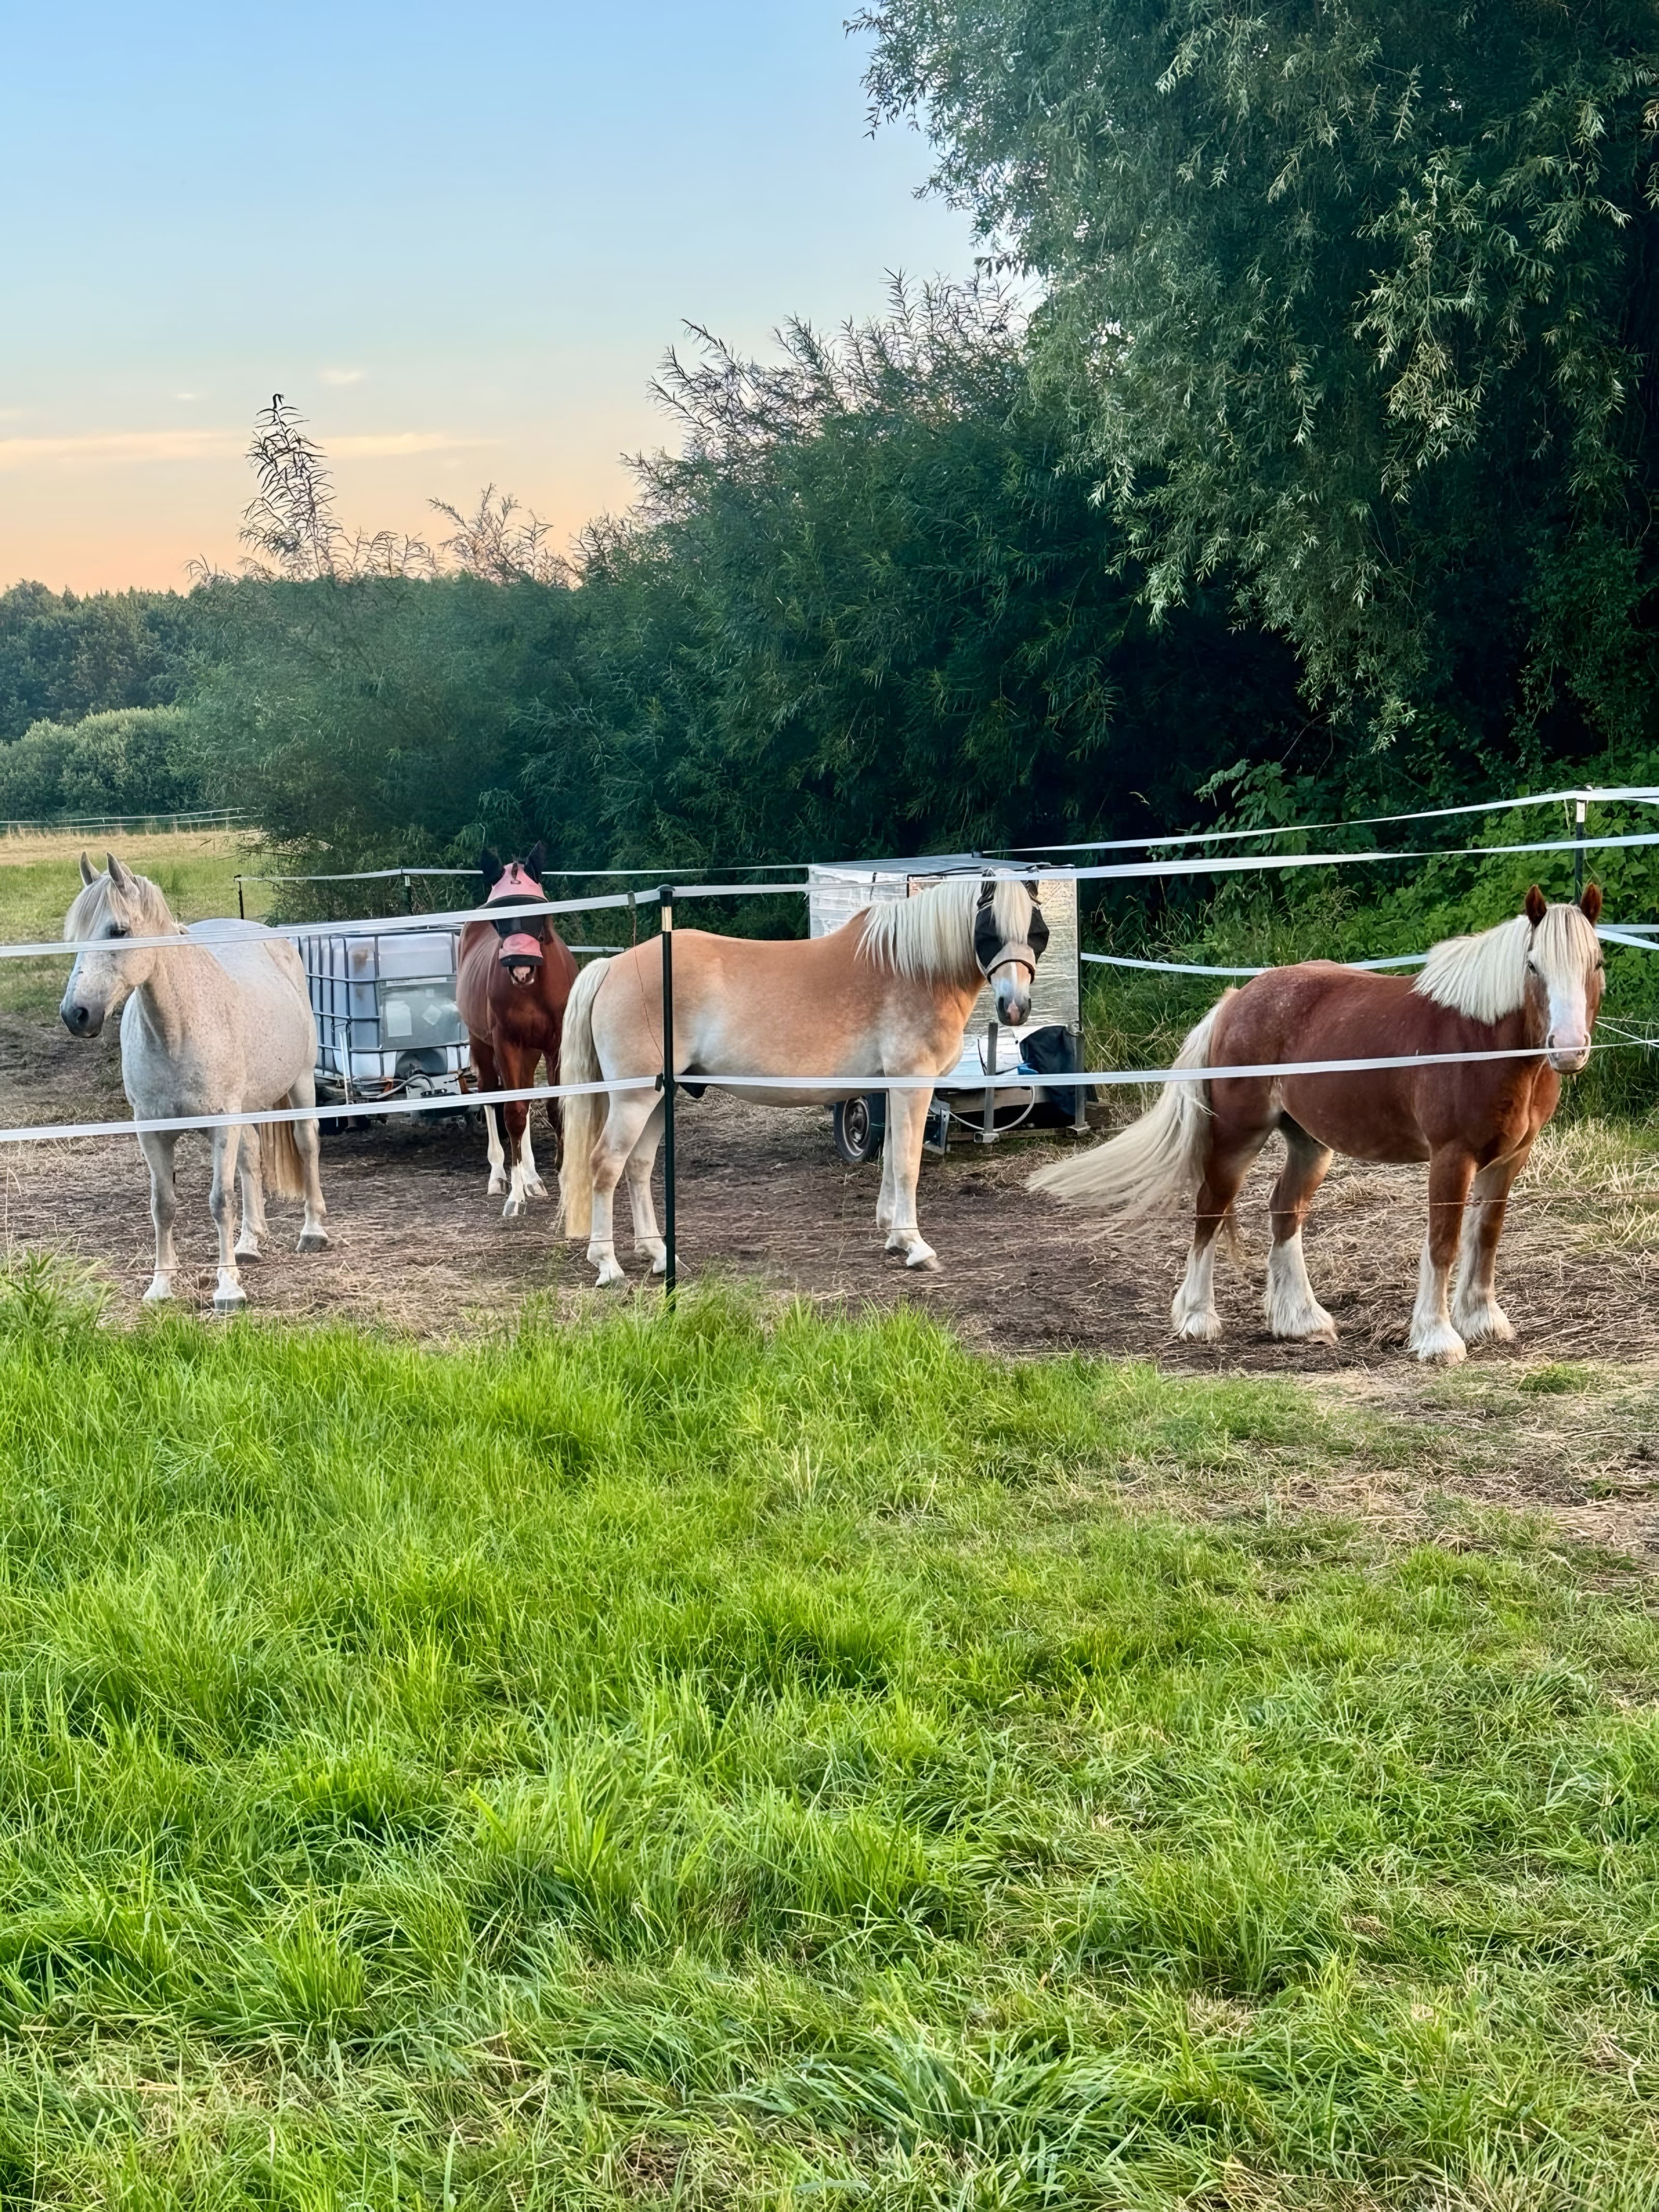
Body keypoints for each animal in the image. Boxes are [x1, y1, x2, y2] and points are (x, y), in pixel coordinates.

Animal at [59, 853, 330, 1312]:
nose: (76, 1014)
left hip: (301, 1080)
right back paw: (249, 1244)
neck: (178, 1031)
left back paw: (313, 1231)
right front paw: (161, 1287)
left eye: (119, 930)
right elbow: (163, 1205)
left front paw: (229, 1289)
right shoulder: (152, 1131)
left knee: (307, 1142)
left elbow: (220, 1202)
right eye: (75, 937)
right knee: (251, 1156)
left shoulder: (222, 1124)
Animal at [455, 844, 579, 1220]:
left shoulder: (554, 1045)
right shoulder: (506, 1044)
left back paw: (534, 1178)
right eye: (501, 915)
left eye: (537, 911)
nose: (520, 967)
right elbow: (512, 1113)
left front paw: (561, 1180)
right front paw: (515, 1195)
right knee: (493, 1095)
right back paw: (501, 1176)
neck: (532, 988)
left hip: (531, 1050)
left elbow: (554, 1108)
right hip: (483, 1045)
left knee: (524, 1094)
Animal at [559, 873, 1050, 1287]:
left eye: (1036, 931)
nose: (1015, 1008)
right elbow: (908, 1164)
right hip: (634, 1098)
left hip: (659, 1095)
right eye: (989, 930)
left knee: (638, 1167)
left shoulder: (893, 1087)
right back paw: (608, 1264)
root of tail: (613, 967)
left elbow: (891, 1157)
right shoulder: (913, 1083)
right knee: (606, 1164)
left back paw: (660, 1255)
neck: (915, 968)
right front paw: (917, 1246)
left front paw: (893, 1235)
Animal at [1030, 885, 1605, 1364]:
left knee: (1285, 1210)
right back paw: (1197, 1317)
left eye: (1596, 962)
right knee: (1209, 1211)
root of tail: (1234, 1001)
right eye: (1532, 965)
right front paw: (1437, 1338)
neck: (1481, 1041)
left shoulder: (1508, 1157)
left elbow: (1485, 1235)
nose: (1568, 1049)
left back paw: (1300, 1321)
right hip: (1236, 1139)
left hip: (1309, 1144)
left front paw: (1483, 1321)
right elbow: (1443, 1241)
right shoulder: (1451, 1155)